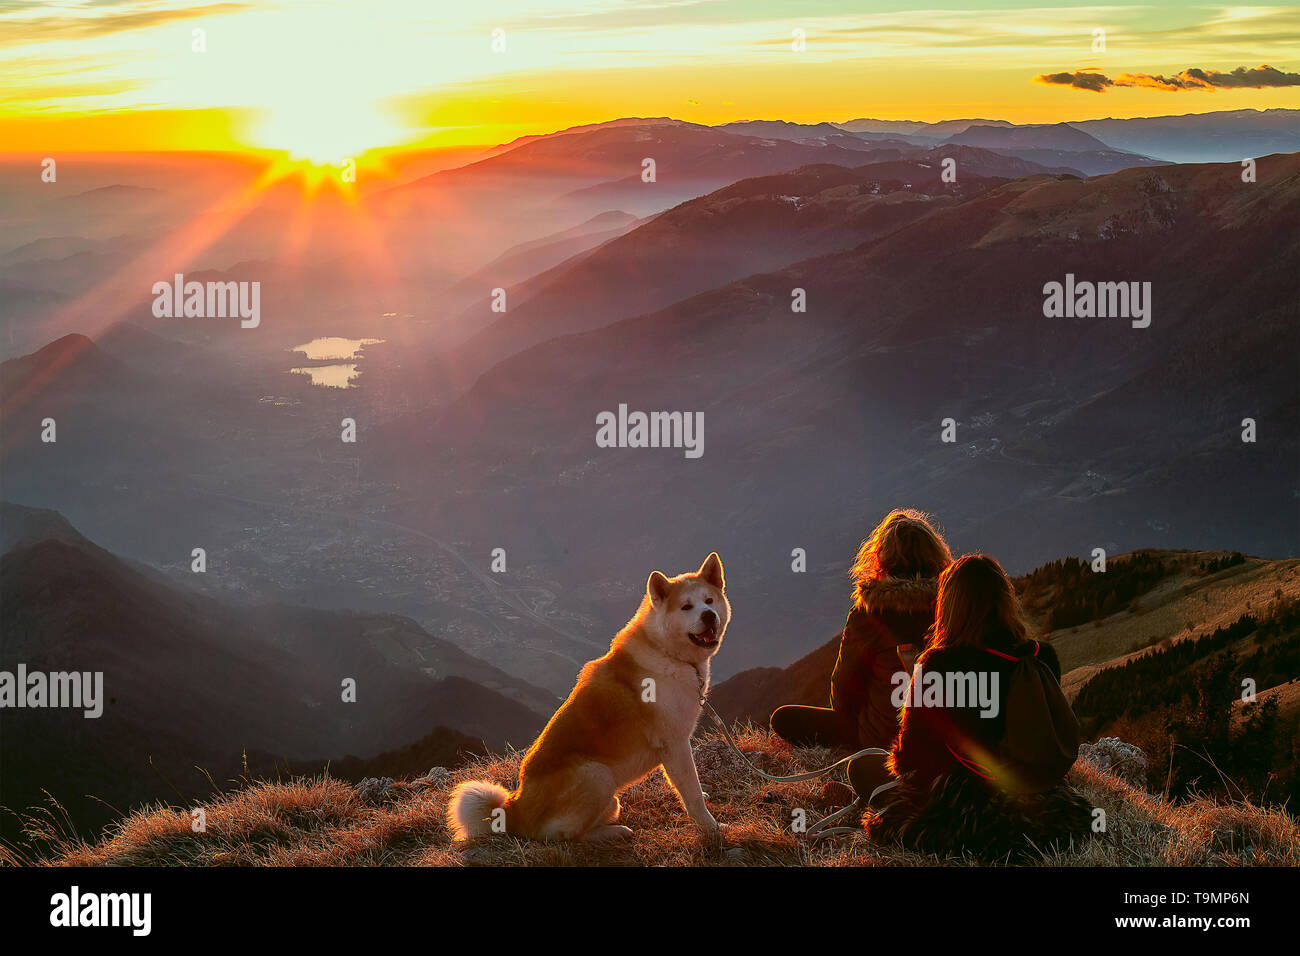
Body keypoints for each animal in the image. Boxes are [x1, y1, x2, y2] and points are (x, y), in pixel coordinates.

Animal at [447, 548, 733, 842]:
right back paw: (613, 832)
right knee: (567, 834)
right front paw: (711, 827)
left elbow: (690, 788)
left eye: (709, 600)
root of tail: (513, 809)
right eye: (686, 607)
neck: (665, 651)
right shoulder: (674, 744)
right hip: (598, 774)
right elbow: (692, 792)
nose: (709, 615)